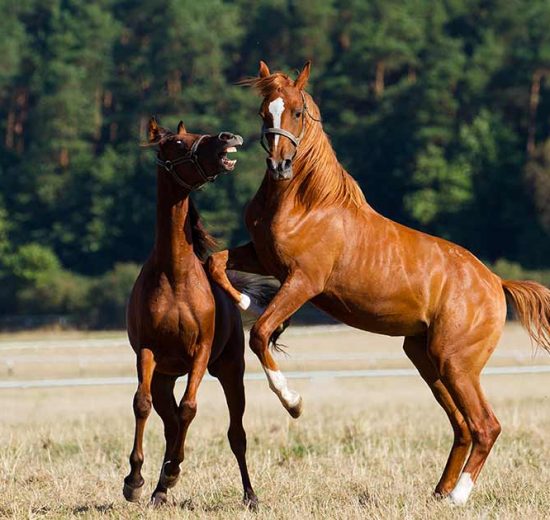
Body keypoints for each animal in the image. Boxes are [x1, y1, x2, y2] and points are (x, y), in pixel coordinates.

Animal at [124, 119, 266, 508]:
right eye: (175, 142)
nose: (227, 137)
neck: (175, 275)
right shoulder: (148, 351)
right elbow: (141, 404)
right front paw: (135, 480)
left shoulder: (200, 353)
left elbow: (190, 408)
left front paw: (171, 471)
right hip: (165, 377)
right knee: (170, 423)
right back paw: (159, 488)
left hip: (231, 371)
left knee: (236, 434)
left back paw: (249, 495)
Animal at [207, 61, 550, 504]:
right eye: (265, 112)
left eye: (298, 112)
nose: (280, 166)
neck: (307, 202)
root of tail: (495, 282)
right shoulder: (263, 257)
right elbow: (217, 264)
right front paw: (248, 301)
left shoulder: (303, 282)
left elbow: (262, 333)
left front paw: (293, 402)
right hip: (426, 358)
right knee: (462, 426)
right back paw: (439, 494)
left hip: (456, 363)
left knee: (485, 425)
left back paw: (458, 496)